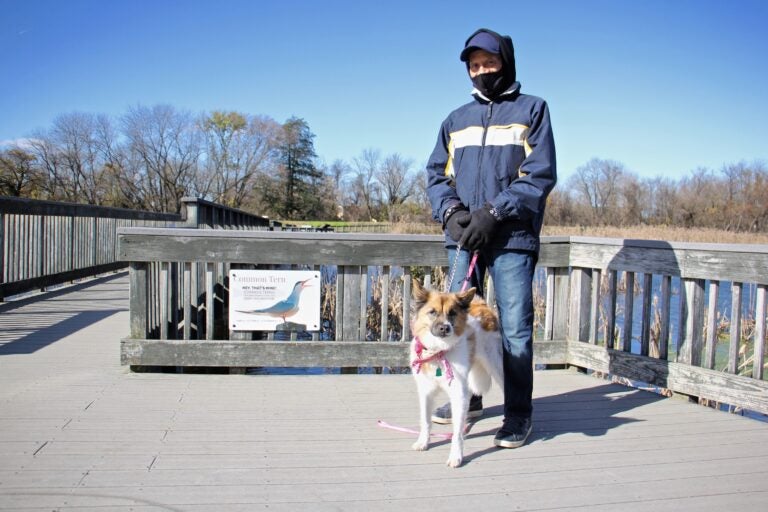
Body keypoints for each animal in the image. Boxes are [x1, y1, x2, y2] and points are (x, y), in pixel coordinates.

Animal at [408, 278, 504, 466]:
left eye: (452, 313)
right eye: (432, 312)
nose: (445, 328)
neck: (438, 351)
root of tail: (482, 304)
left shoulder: (458, 392)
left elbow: (457, 434)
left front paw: (456, 456)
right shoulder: (426, 391)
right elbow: (425, 420)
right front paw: (423, 442)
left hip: (496, 366)